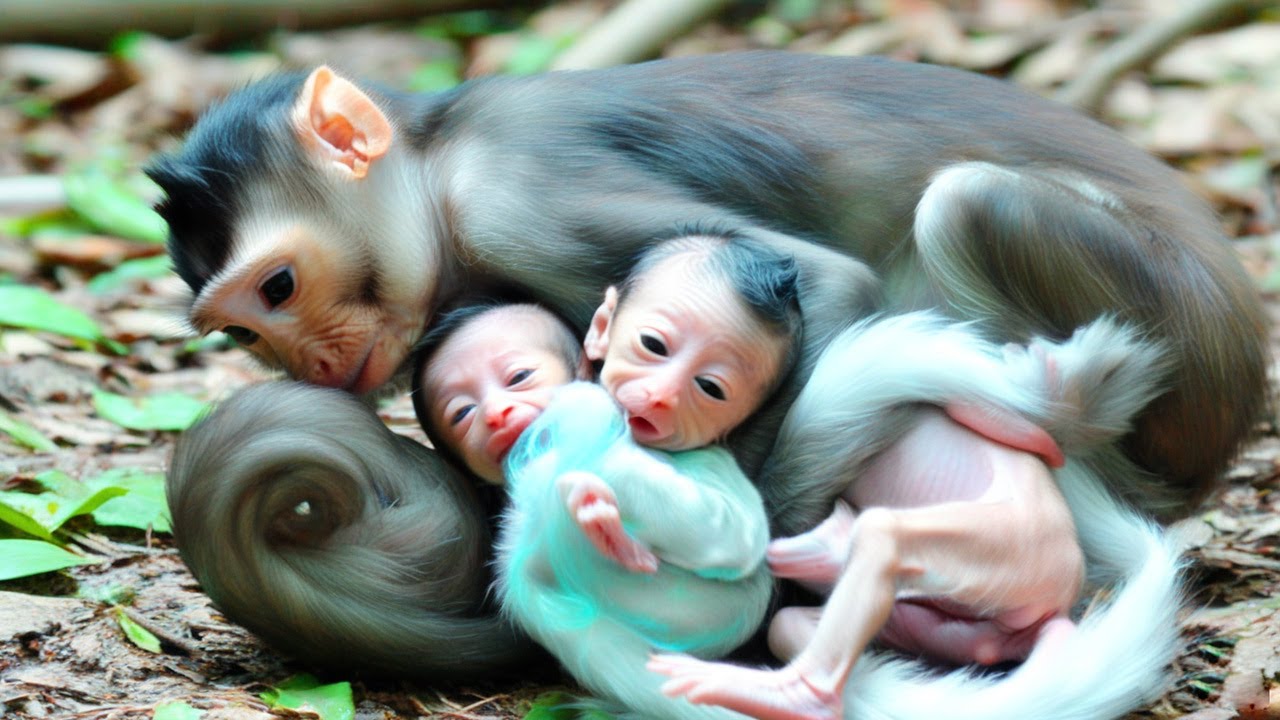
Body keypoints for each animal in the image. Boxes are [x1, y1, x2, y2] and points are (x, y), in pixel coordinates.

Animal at [146, 51, 1268, 526]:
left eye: (278, 287)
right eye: (244, 335)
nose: (309, 364)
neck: (439, 162)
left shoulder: (520, 200)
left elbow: (827, 281)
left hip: (1174, 332)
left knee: (965, 201)